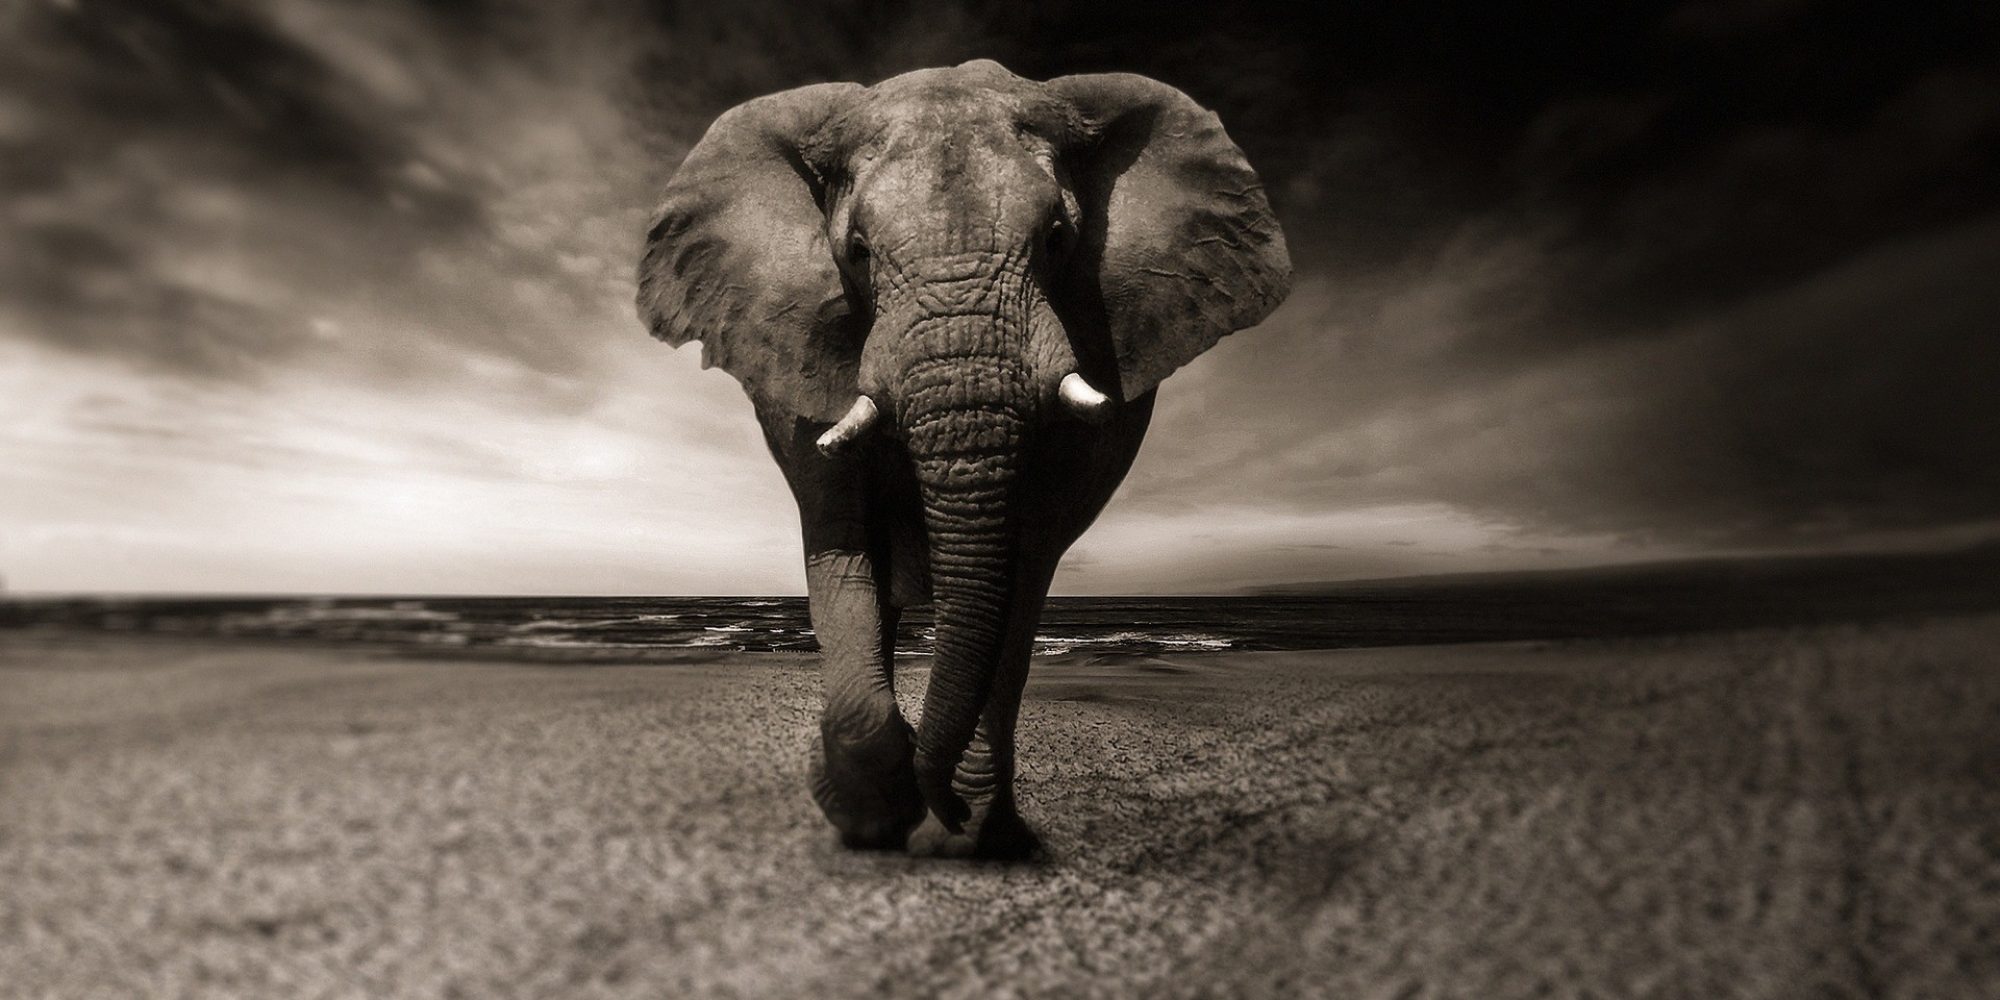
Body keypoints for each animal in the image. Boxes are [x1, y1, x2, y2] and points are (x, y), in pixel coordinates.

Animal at [636, 59, 1290, 857]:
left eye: (1059, 238)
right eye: (856, 252)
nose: (939, 803)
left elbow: (1023, 563)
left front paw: (965, 830)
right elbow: (841, 540)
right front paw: (872, 816)